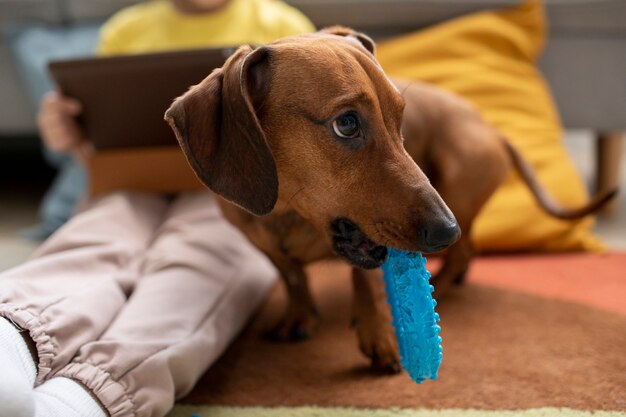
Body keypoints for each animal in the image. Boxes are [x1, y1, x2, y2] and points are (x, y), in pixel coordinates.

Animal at [163, 26, 612, 370]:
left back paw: (443, 285)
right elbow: (293, 277)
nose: (445, 231)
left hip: (456, 179)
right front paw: (299, 315)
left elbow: (364, 280)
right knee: (468, 248)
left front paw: (379, 335)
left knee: (466, 250)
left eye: (401, 118)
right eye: (346, 124)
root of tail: (494, 129)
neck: (290, 214)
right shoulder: (263, 244)